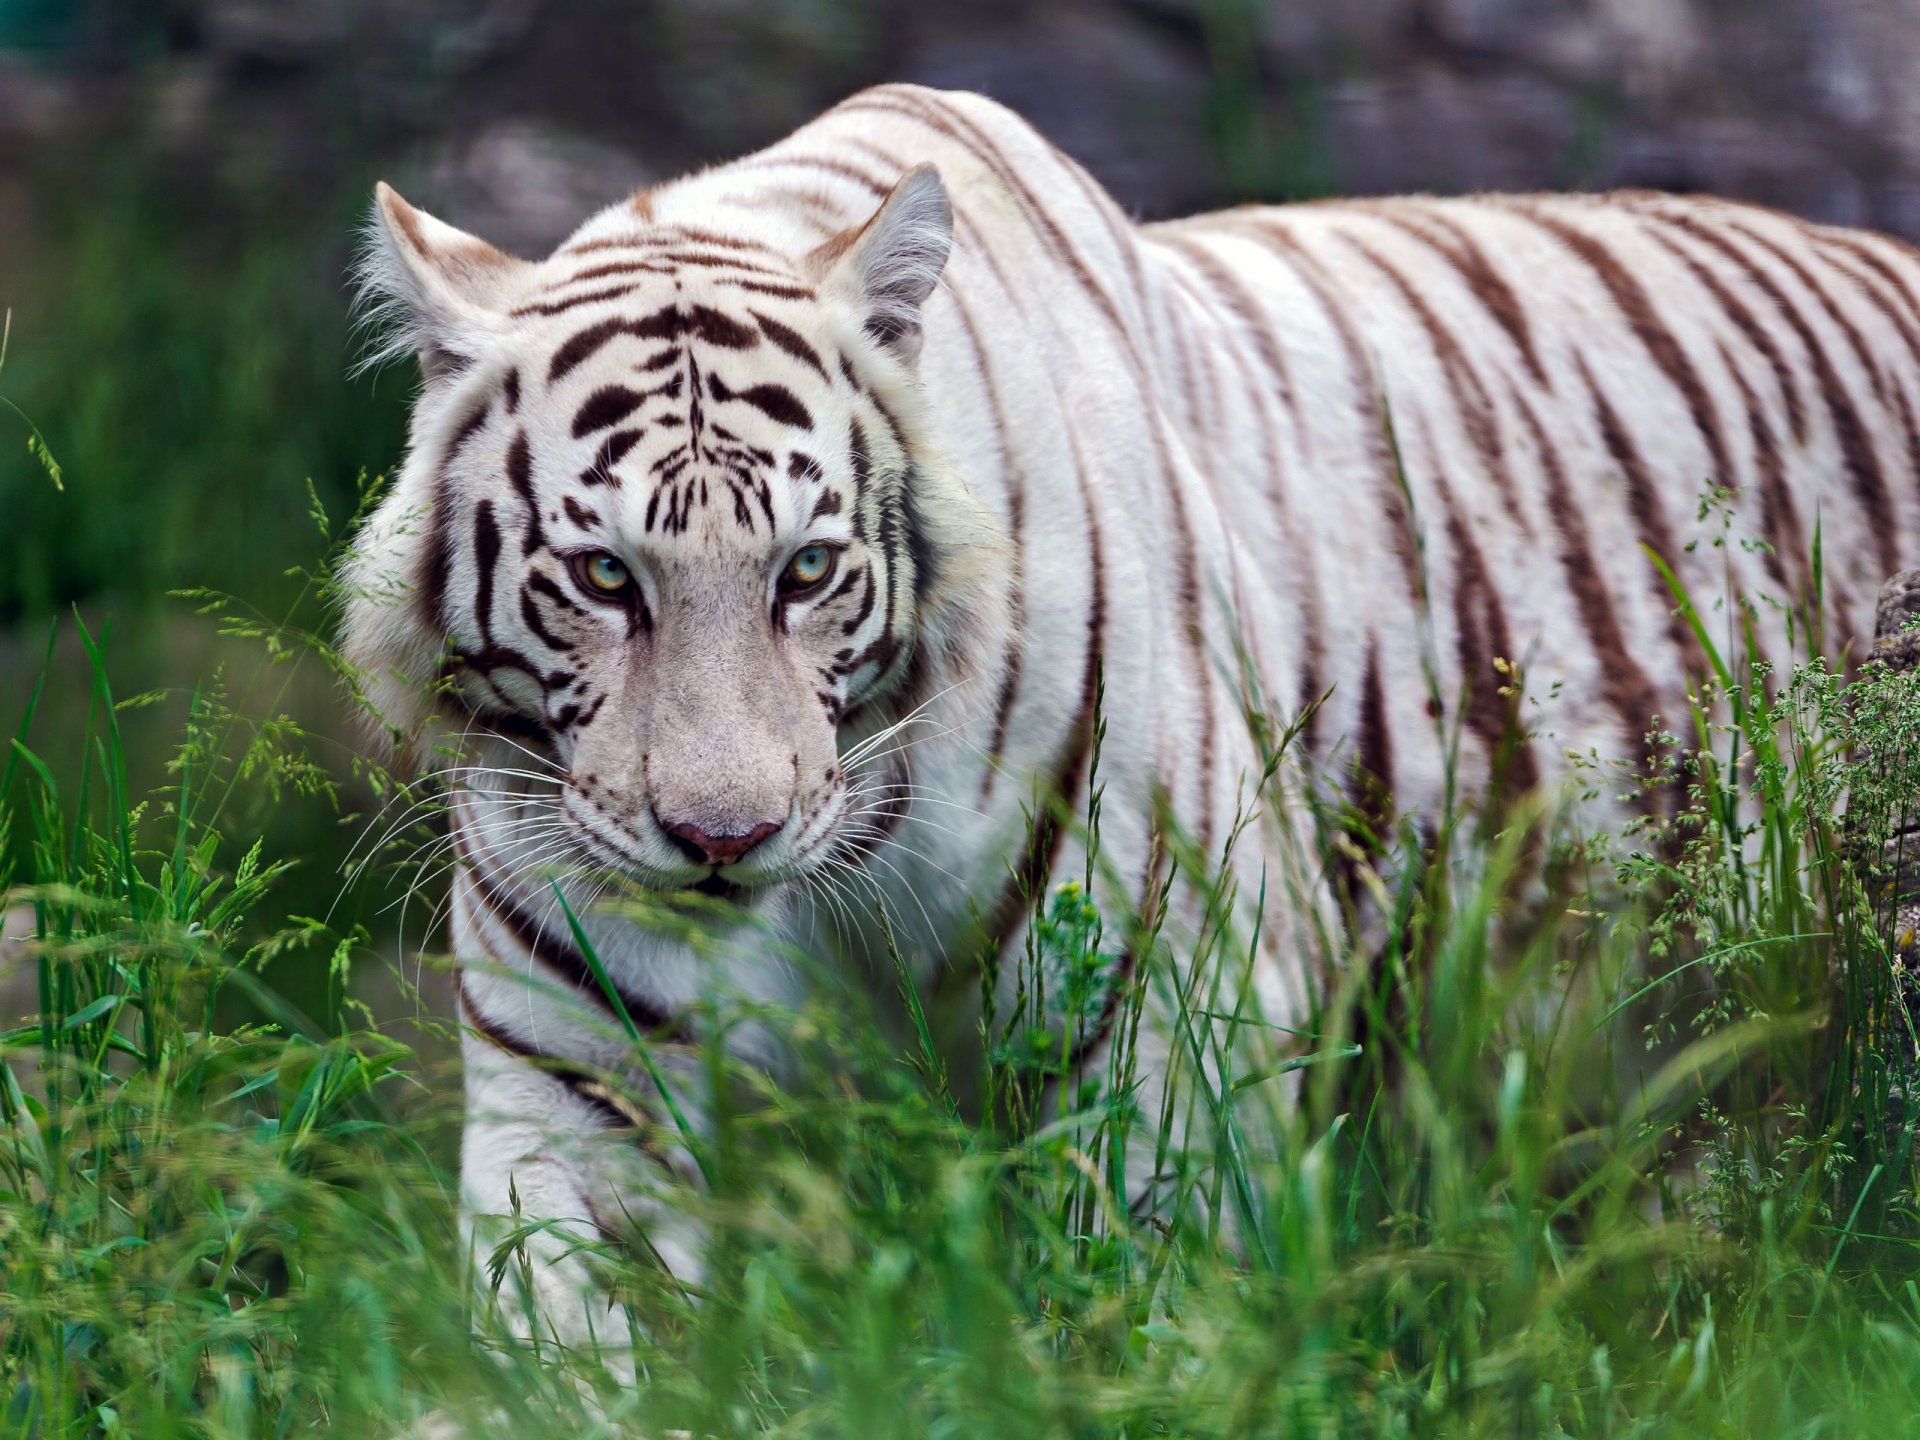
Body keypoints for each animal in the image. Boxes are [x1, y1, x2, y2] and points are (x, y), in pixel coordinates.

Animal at [341, 81, 1920, 1364]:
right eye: (607, 576)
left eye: (808, 570)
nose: (725, 837)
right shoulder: (577, 1086)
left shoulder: (1174, 1023)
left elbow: (1147, 1315)